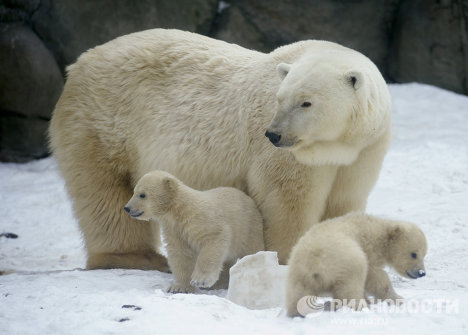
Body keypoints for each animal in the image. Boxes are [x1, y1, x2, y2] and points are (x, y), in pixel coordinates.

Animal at [48, 28, 392, 270]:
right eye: (279, 98)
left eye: (306, 102)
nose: (274, 134)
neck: (333, 144)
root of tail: (78, 64)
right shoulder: (289, 157)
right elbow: (287, 202)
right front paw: (289, 258)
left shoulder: (364, 150)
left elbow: (343, 202)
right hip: (102, 124)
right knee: (104, 191)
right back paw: (135, 257)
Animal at [124, 172, 266, 292]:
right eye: (134, 191)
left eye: (142, 194)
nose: (127, 208)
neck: (179, 210)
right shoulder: (174, 230)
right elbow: (180, 254)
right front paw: (180, 287)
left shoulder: (199, 219)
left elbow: (214, 237)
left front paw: (200, 280)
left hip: (249, 228)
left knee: (252, 249)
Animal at [286, 213, 428, 318]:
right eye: (414, 254)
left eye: (424, 254)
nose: (422, 273)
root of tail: (316, 263)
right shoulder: (368, 251)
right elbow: (376, 278)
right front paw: (398, 299)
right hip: (348, 259)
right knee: (351, 286)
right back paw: (360, 306)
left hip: (299, 273)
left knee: (299, 294)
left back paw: (298, 312)